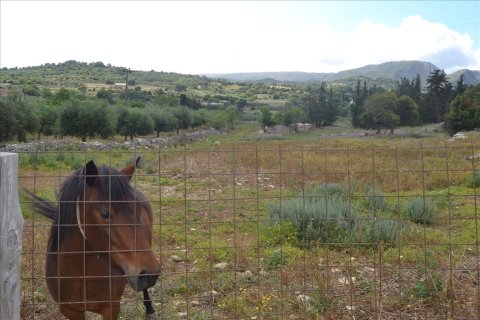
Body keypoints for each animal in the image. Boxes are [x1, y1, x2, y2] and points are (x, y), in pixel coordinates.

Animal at [29, 159, 161, 318]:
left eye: (138, 208)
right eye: (104, 214)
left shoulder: (111, 308)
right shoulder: (70, 310)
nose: (150, 274)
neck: (81, 275)